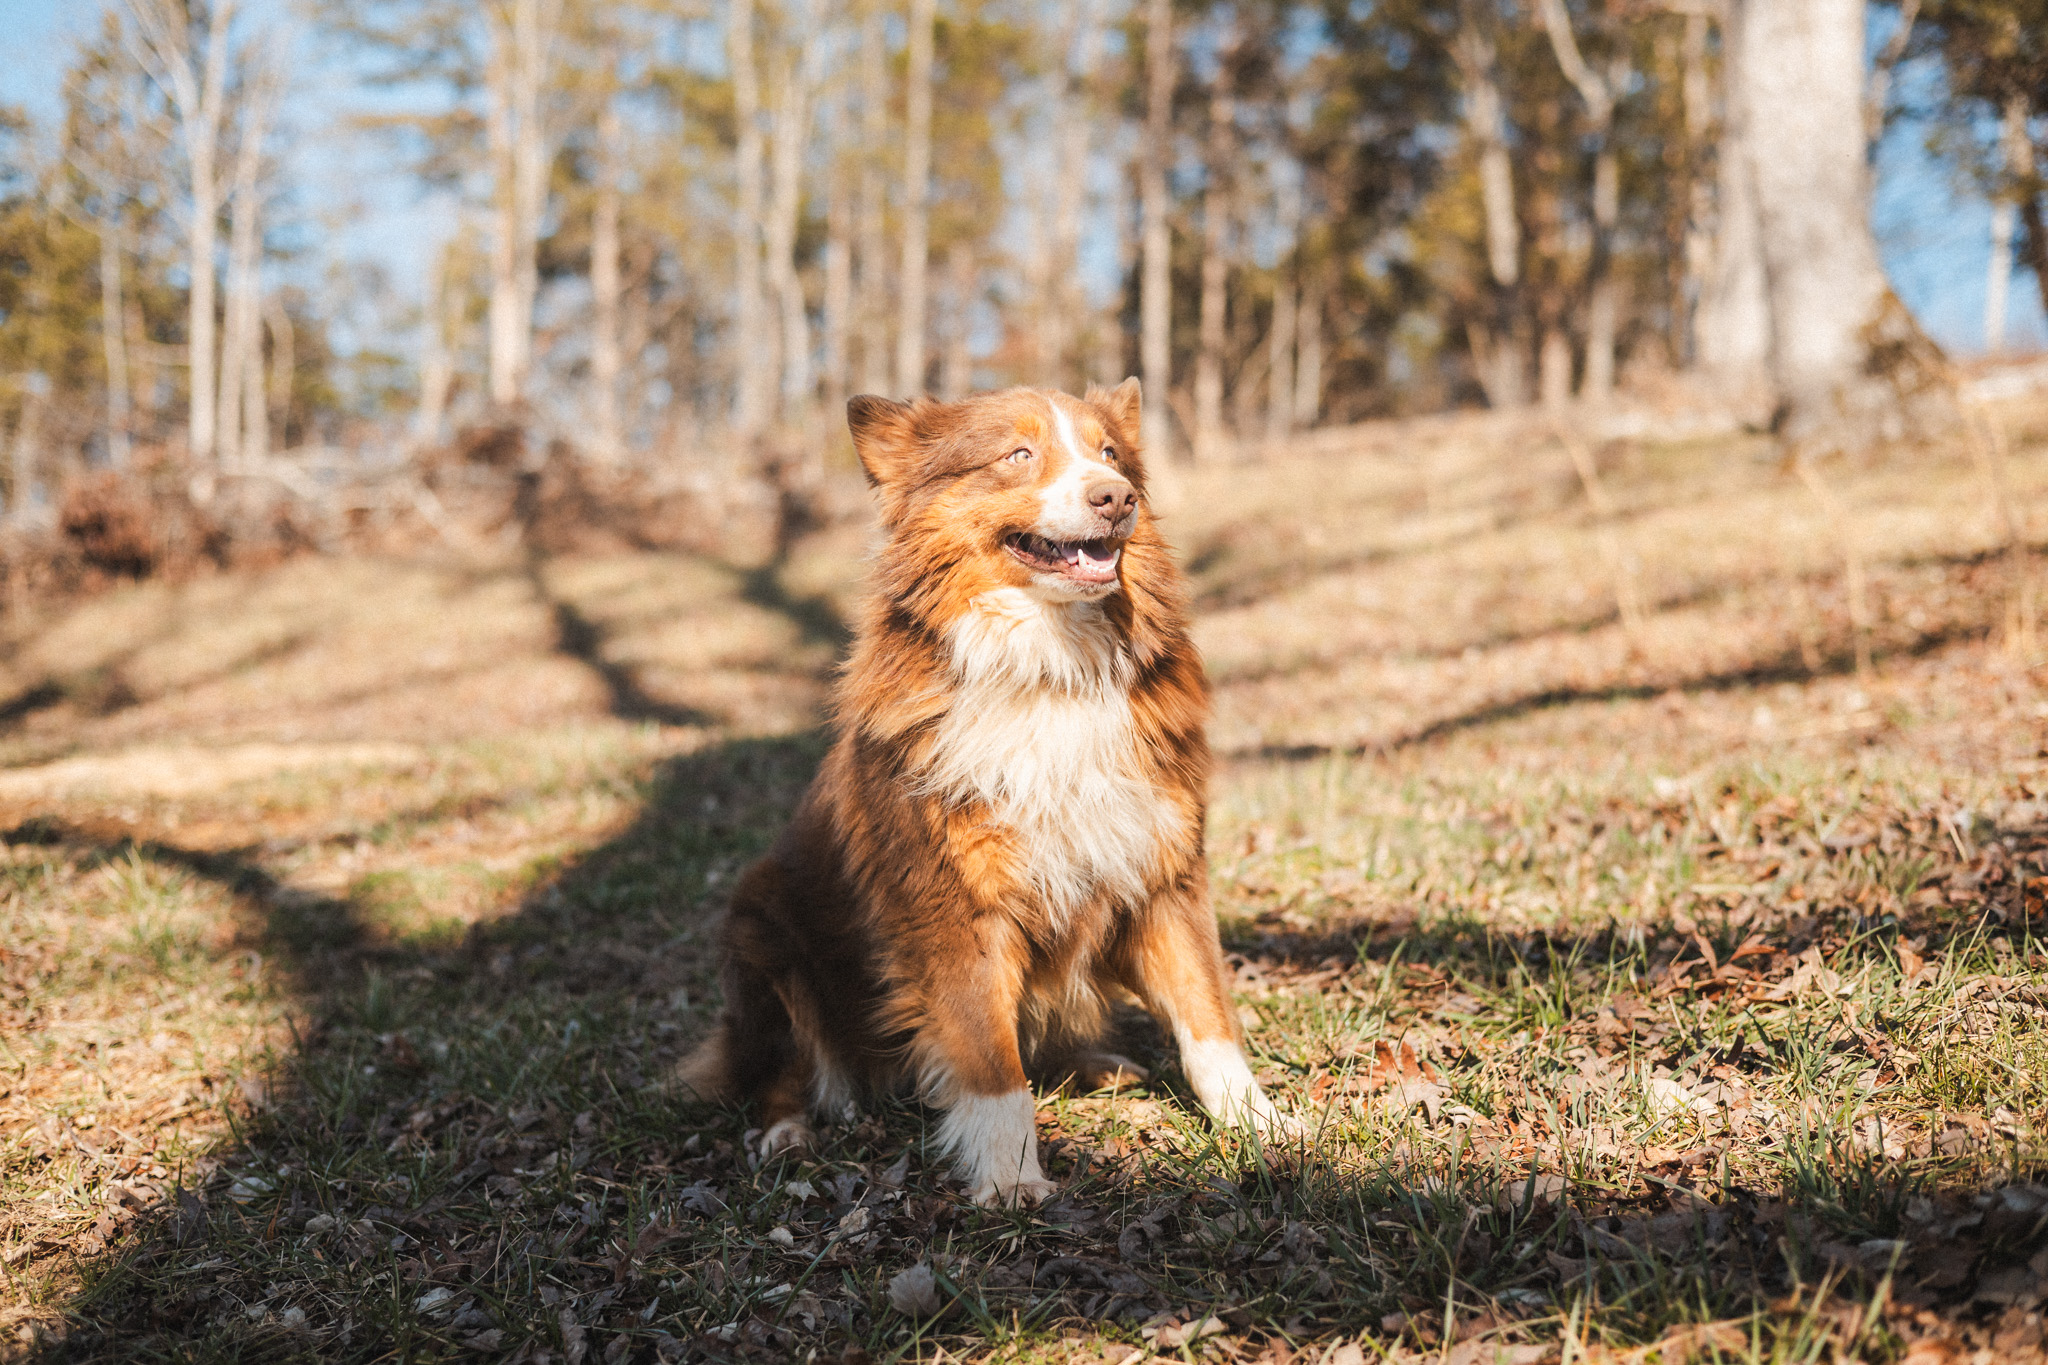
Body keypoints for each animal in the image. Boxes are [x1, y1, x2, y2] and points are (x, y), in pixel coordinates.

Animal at [681, 379, 1288, 1206]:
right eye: (1018, 454)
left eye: (1110, 452)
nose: (1116, 496)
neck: (1051, 665)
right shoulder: (952, 901)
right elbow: (990, 1056)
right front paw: (1010, 1176)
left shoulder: (1163, 870)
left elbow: (1206, 1014)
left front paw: (1260, 1123)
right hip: (761, 928)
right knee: (780, 1067)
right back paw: (787, 1134)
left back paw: (1098, 1065)